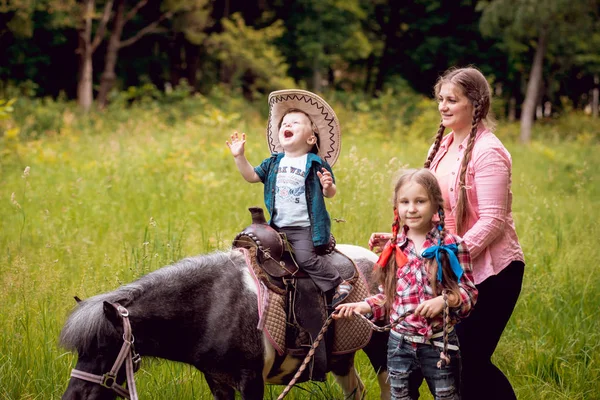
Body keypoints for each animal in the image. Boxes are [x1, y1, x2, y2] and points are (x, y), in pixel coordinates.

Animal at [59, 245, 390, 398]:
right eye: (81, 352)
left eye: (104, 349)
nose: (72, 397)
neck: (212, 308)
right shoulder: (217, 381)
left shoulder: (252, 382)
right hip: (342, 360)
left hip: (380, 351)